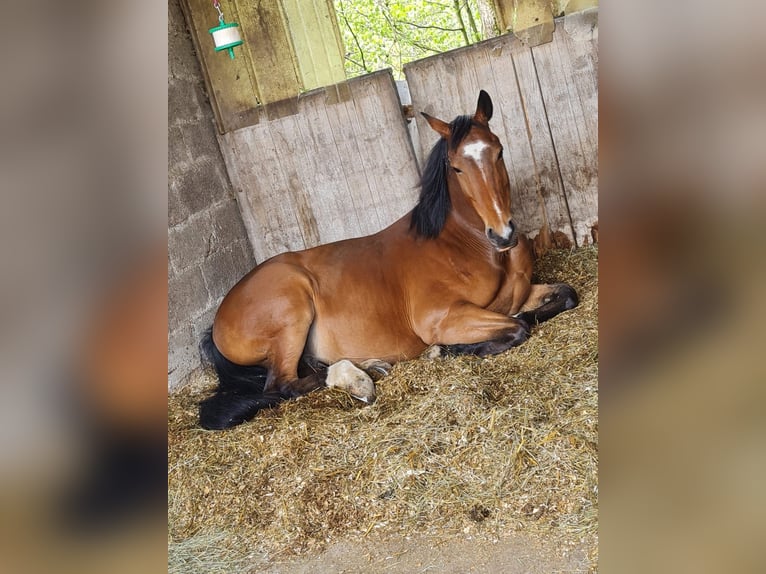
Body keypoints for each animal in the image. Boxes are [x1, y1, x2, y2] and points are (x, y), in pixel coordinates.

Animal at [199, 90, 578, 430]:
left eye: (498, 152)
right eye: (456, 168)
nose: (503, 234)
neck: (467, 245)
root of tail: (217, 322)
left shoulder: (519, 295)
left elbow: (563, 297)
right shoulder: (441, 318)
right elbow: (517, 328)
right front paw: (445, 350)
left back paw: (371, 366)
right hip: (292, 311)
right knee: (283, 385)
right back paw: (359, 378)